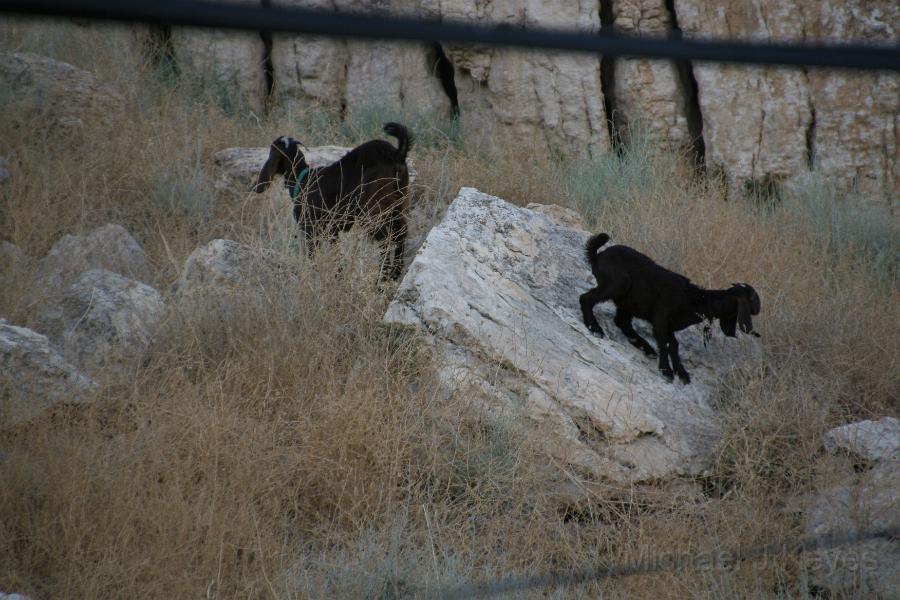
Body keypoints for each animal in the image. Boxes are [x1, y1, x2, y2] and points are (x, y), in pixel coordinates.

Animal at [250, 123, 412, 282]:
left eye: (272, 151)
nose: (257, 186)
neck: (303, 179)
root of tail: (397, 154)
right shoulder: (332, 230)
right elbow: (335, 253)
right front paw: (338, 276)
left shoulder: (310, 228)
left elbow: (312, 254)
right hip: (398, 205)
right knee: (400, 233)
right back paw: (394, 274)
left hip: (373, 210)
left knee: (386, 238)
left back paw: (381, 278)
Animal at [580, 232, 764, 382]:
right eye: (753, 297)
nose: (759, 308)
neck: (695, 299)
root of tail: (597, 256)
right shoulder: (661, 319)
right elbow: (665, 343)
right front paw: (667, 371)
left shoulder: (669, 326)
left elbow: (674, 345)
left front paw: (681, 373)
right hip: (617, 284)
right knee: (586, 299)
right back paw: (595, 328)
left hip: (628, 301)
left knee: (622, 321)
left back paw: (646, 348)